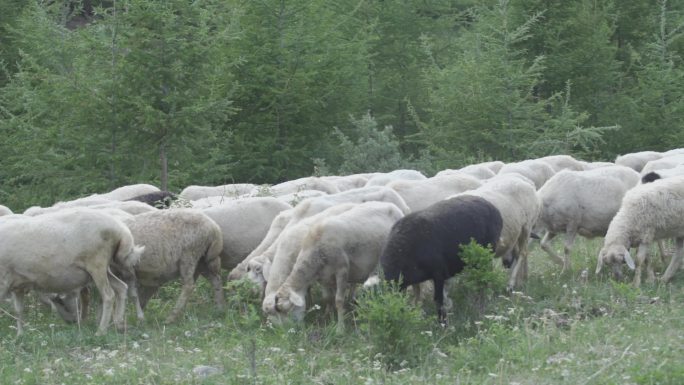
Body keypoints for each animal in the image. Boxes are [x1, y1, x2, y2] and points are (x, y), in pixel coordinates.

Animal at [0, 208, 143, 334]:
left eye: (62, 303)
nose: (72, 322)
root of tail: (121, 229)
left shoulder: (4, 282)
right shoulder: (17, 285)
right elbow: (18, 311)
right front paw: (20, 335)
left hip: (97, 264)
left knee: (108, 295)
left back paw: (101, 331)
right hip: (101, 269)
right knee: (121, 288)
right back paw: (119, 324)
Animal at [262, 201, 404, 330]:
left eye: (287, 308)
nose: (290, 331)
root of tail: (392, 205)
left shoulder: (342, 270)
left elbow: (338, 300)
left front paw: (340, 328)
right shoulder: (322, 276)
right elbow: (327, 298)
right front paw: (327, 315)